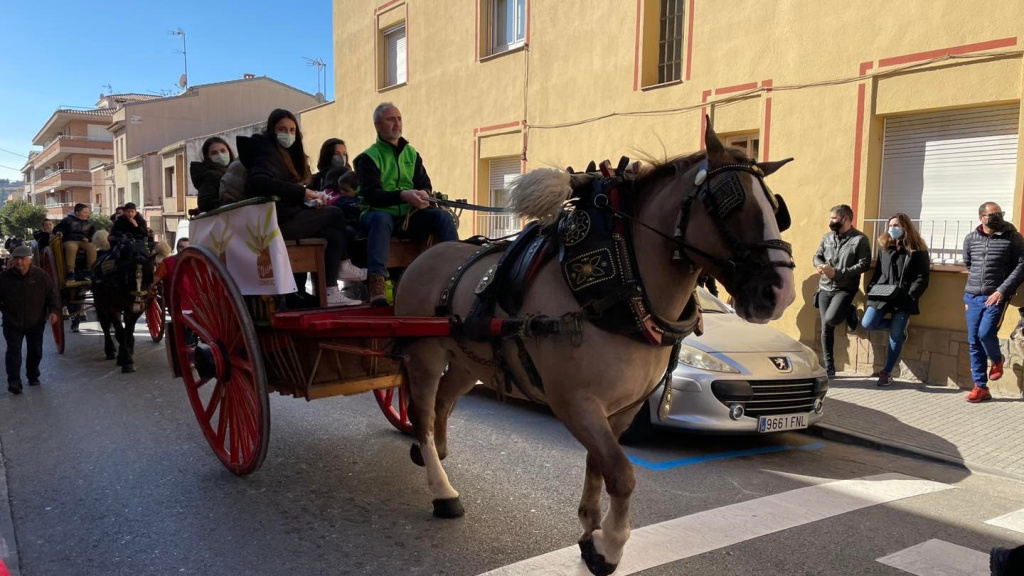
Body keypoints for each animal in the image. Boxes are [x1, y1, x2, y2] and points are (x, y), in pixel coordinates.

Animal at [393, 123, 798, 569]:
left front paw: (591, 528)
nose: (779, 292)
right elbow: (621, 473)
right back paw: (441, 487)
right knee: (423, 414)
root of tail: (426, 256)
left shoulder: (621, 408)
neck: (621, 282)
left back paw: (438, 454)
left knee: (444, 402)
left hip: (468, 363)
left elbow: (599, 463)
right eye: (728, 202)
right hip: (425, 355)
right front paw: (611, 545)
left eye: (777, 209)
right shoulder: (575, 401)